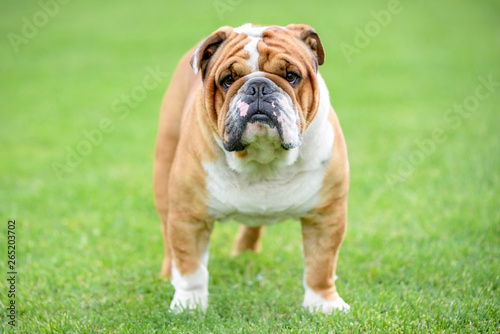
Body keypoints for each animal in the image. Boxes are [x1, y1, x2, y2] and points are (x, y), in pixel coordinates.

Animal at [154, 22, 350, 314]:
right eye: (227, 79)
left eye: (291, 76)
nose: (258, 86)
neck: (262, 159)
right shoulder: (190, 216)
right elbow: (191, 266)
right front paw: (189, 304)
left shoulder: (326, 215)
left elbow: (321, 264)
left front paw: (324, 304)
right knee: (169, 239)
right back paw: (169, 274)